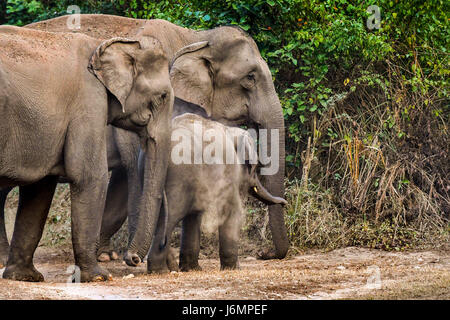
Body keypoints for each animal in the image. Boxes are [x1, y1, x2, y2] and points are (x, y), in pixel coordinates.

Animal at [0, 25, 174, 282]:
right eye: (162, 96)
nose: (133, 259)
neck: (101, 43)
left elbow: (41, 188)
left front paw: (24, 276)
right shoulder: (89, 102)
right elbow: (89, 176)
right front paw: (99, 276)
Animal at [146, 115, 286, 272]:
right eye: (254, 168)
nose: (262, 254)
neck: (231, 130)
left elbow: (194, 216)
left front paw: (193, 269)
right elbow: (229, 210)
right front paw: (234, 269)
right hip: (178, 178)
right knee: (169, 217)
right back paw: (159, 270)